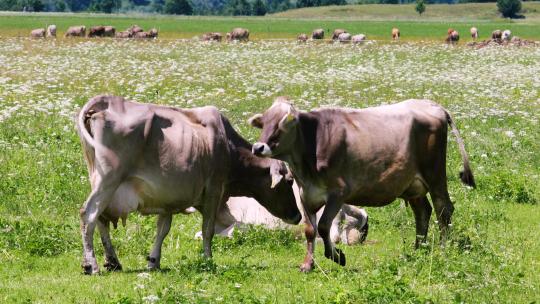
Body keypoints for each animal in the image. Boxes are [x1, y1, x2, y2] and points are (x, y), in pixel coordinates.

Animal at [77, 95, 304, 276]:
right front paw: (208, 260)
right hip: (109, 179)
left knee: (101, 219)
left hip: (101, 182)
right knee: (89, 214)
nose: (298, 216)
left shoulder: (168, 197)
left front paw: (154, 261)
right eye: (289, 181)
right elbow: (207, 229)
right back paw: (91, 265)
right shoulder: (214, 191)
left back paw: (113, 262)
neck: (228, 146)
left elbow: (163, 229)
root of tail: (105, 100)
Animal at [251, 97, 474, 270]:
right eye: (264, 122)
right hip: (413, 184)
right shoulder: (306, 194)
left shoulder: (338, 193)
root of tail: (433, 105)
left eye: (283, 124)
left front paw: (337, 256)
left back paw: (442, 251)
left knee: (443, 208)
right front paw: (308, 264)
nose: (258, 147)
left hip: (435, 173)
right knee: (423, 212)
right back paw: (418, 250)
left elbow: (323, 227)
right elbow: (310, 230)